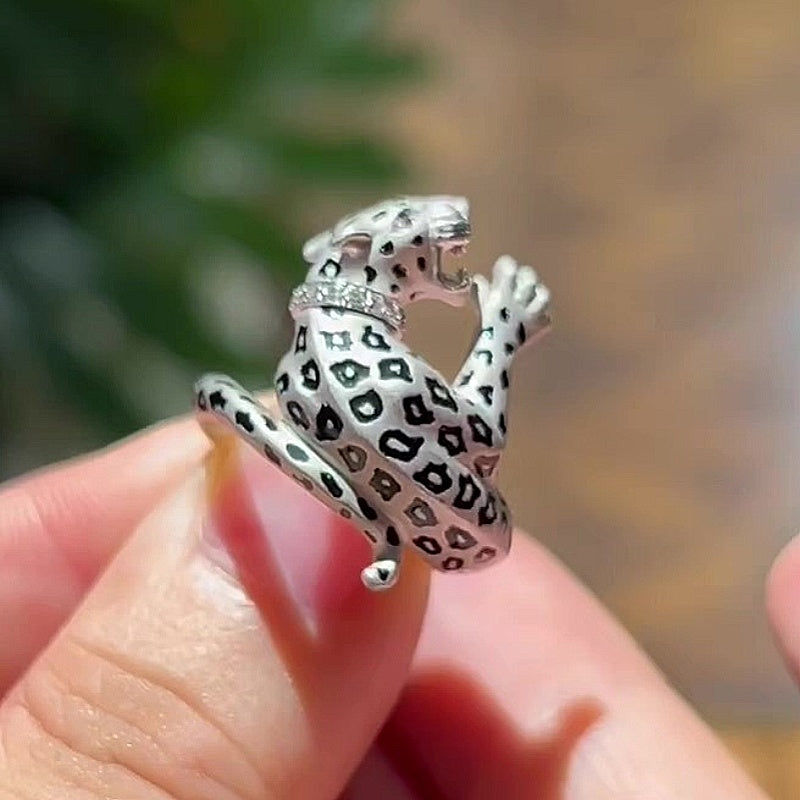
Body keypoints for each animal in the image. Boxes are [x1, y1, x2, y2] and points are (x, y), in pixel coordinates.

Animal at [195, 195, 551, 590]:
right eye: (405, 216)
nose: (459, 203)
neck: (335, 306)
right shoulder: (479, 421)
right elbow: (491, 393)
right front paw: (513, 301)